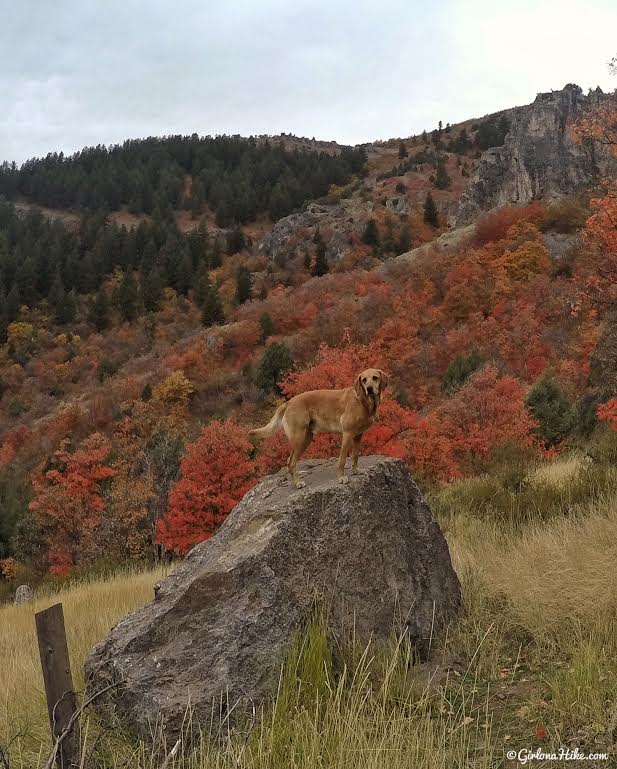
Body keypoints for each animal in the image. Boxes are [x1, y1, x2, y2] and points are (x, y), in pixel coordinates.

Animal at [248, 368, 388, 488]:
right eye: (364, 380)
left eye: (375, 378)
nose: (369, 388)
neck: (363, 401)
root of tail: (289, 402)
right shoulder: (347, 434)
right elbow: (342, 460)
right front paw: (341, 478)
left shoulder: (358, 435)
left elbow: (355, 456)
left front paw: (355, 471)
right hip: (299, 439)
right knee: (291, 462)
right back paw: (298, 483)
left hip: (306, 438)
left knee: (289, 460)